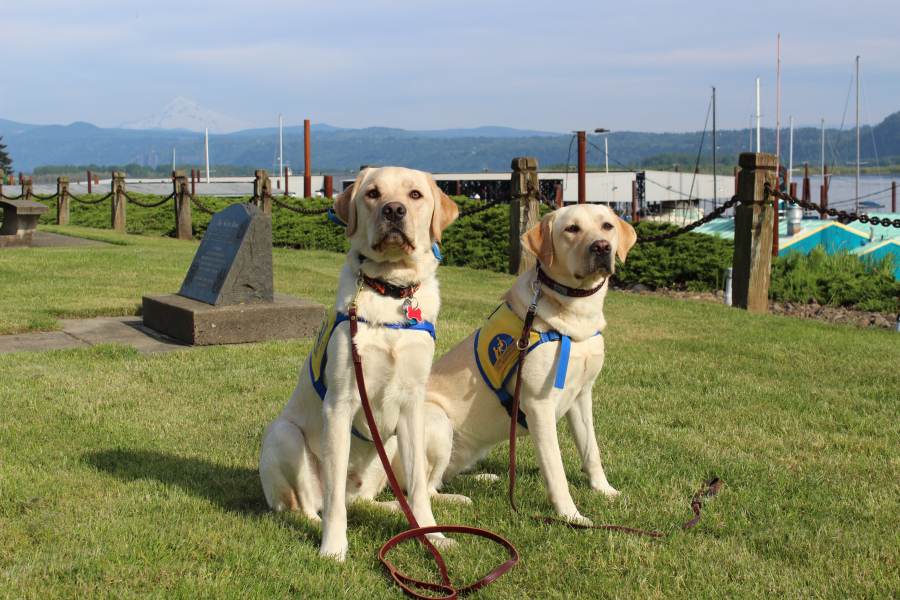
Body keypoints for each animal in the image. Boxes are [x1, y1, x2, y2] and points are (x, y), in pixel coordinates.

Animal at [258, 166, 458, 560]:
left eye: (414, 195)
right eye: (373, 193)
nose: (393, 210)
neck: (392, 291)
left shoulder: (412, 405)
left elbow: (416, 485)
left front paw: (432, 535)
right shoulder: (341, 402)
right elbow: (333, 496)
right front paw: (334, 547)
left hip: (394, 443)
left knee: (378, 497)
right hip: (285, 435)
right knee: (309, 504)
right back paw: (317, 523)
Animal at [390, 204, 636, 524]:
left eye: (607, 226)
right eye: (572, 229)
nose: (602, 247)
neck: (575, 318)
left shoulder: (582, 395)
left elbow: (591, 450)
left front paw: (605, 490)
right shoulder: (539, 405)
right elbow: (555, 469)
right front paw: (571, 516)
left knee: (443, 478)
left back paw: (483, 478)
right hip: (436, 421)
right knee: (425, 488)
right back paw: (458, 498)